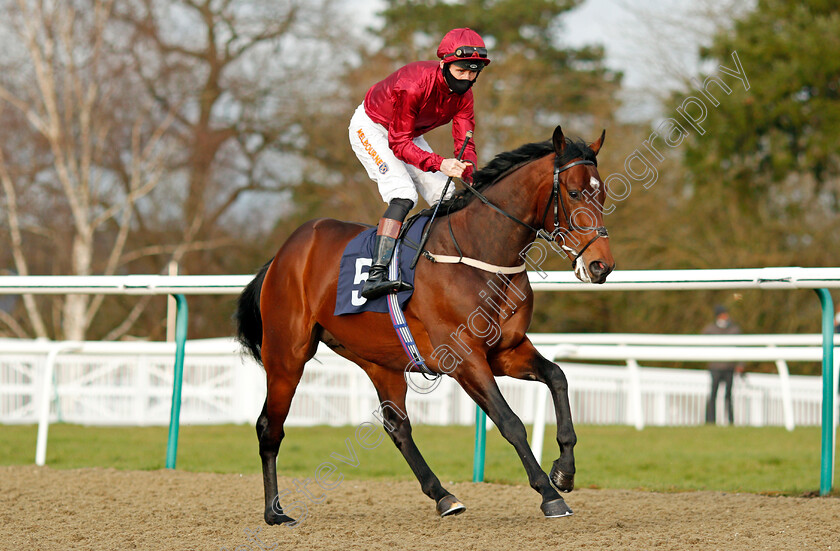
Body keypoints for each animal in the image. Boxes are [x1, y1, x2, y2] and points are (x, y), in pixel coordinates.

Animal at [233, 126, 612, 528]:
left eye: (601, 192)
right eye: (574, 193)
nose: (602, 265)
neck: (479, 252)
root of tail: (283, 253)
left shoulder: (506, 350)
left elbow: (558, 377)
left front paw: (564, 471)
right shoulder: (464, 358)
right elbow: (510, 422)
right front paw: (549, 493)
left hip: (380, 361)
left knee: (397, 426)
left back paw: (444, 496)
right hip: (287, 355)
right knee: (269, 427)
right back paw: (274, 512)